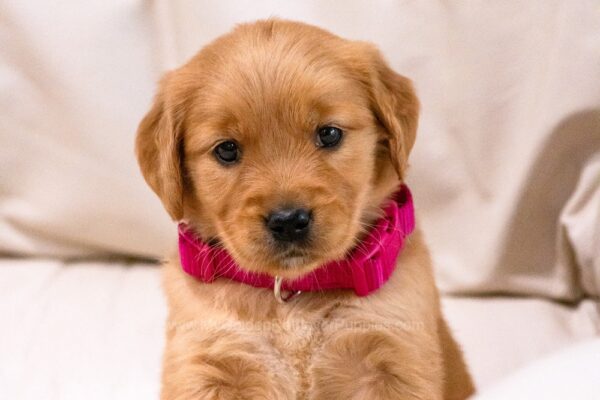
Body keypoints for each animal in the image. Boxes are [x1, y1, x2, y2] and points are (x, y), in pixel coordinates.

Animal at [135, 19, 474, 400]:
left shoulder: (394, 358)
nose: (288, 221)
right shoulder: (207, 364)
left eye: (329, 134)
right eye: (226, 149)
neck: (292, 297)